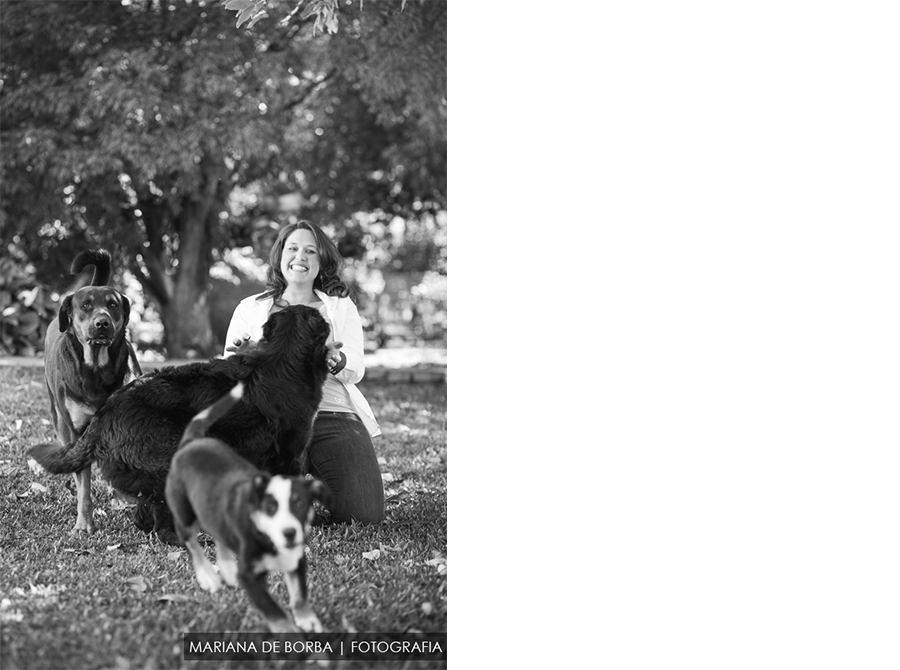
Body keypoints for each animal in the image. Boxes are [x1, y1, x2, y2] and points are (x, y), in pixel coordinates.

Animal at [29, 308, 330, 540]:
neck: (283, 355)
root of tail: (104, 414)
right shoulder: (291, 455)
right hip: (168, 458)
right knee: (157, 520)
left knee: (144, 516)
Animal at [42, 249, 142, 532]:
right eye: (85, 305)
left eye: (113, 305)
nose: (102, 323)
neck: (97, 370)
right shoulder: (77, 431)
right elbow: (84, 487)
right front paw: (84, 524)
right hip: (60, 420)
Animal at [163, 384, 328, 636]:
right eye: (270, 507)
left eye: (300, 504)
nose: (290, 533)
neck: (267, 537)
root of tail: (192, 442)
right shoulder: (250, 577)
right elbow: (274, 611)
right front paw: (290, 634)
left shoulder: (296, 560)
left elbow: (300, 594)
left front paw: (307, 619)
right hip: (183, 510)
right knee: (190, 541)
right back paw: (208, 577)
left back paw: (226, 569)